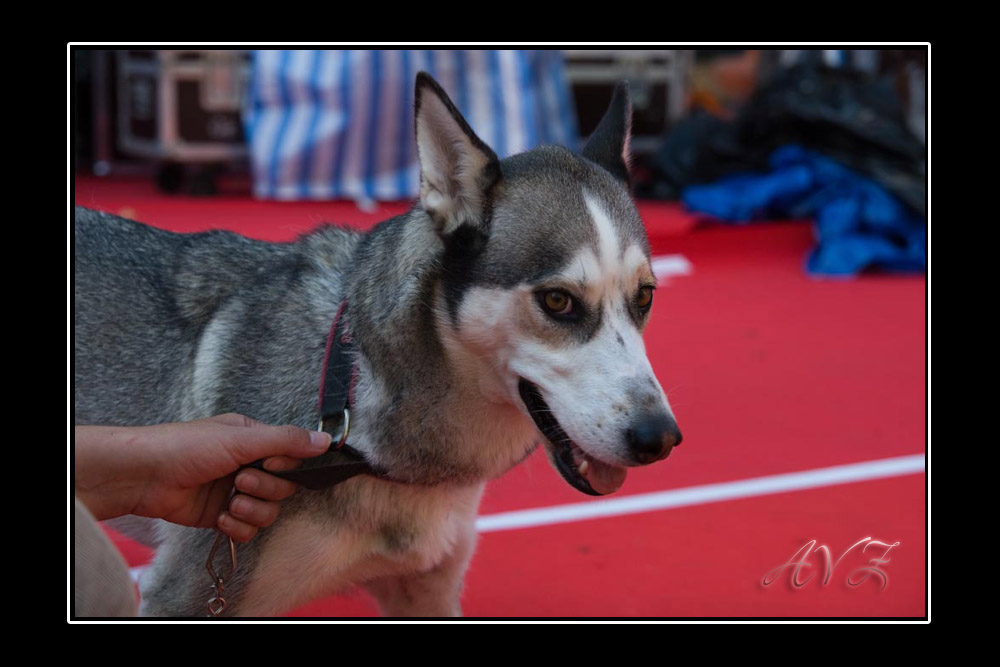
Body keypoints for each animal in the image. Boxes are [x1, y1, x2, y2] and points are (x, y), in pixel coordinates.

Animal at [74, 72, 684, 616]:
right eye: (558, 301)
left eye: (645, 296)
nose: (659, 439)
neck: (348, 390)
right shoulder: (188, 594)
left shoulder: (426, 590)